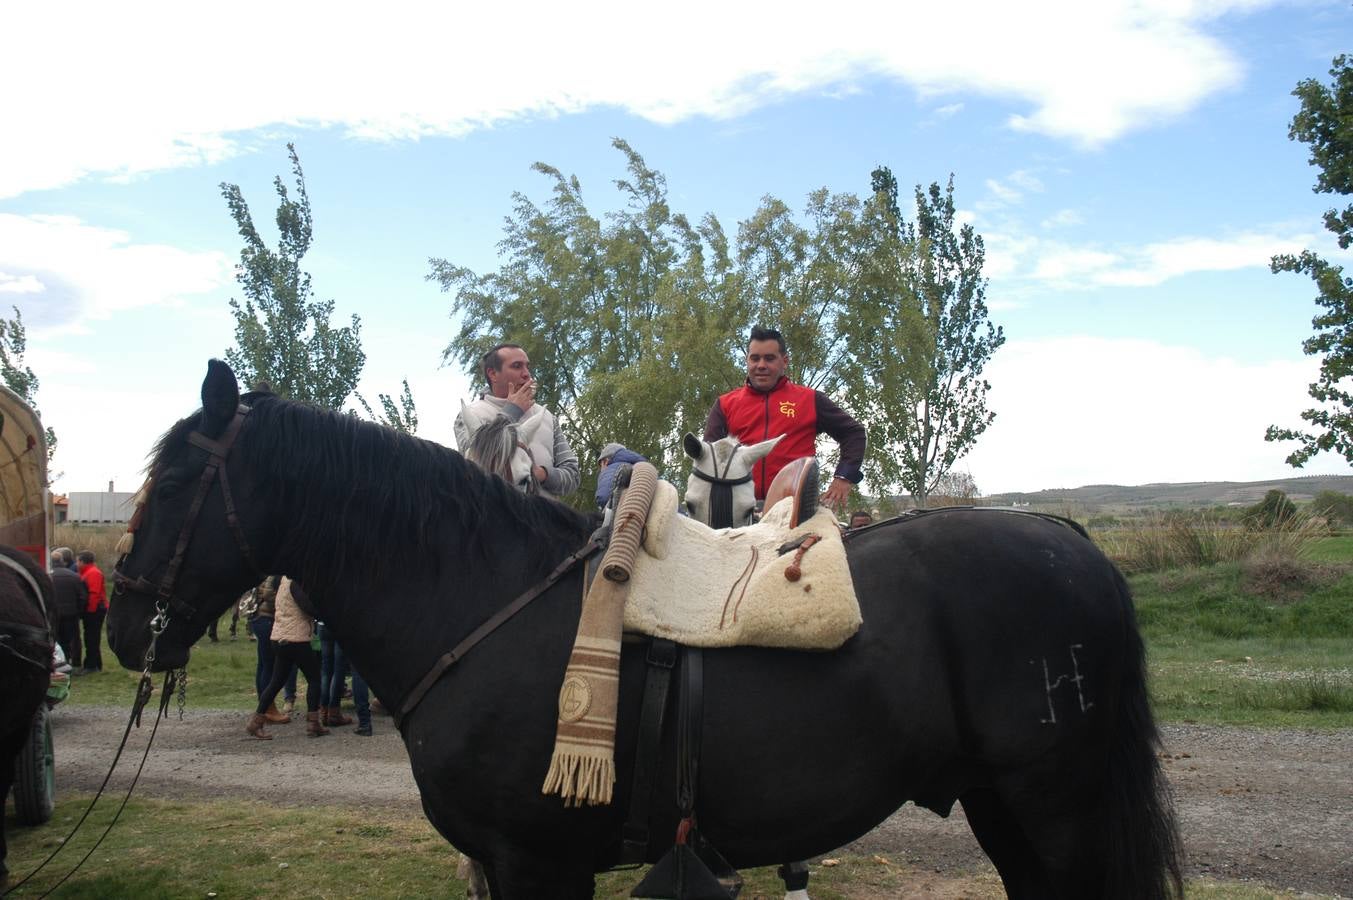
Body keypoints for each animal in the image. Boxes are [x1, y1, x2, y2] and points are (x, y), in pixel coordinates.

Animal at [110, 360, 1179, 898]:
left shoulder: (535, 865)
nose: (123, 621)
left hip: (1054, 809)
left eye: (176, 478)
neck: (484, 599)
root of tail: (1071, 543)